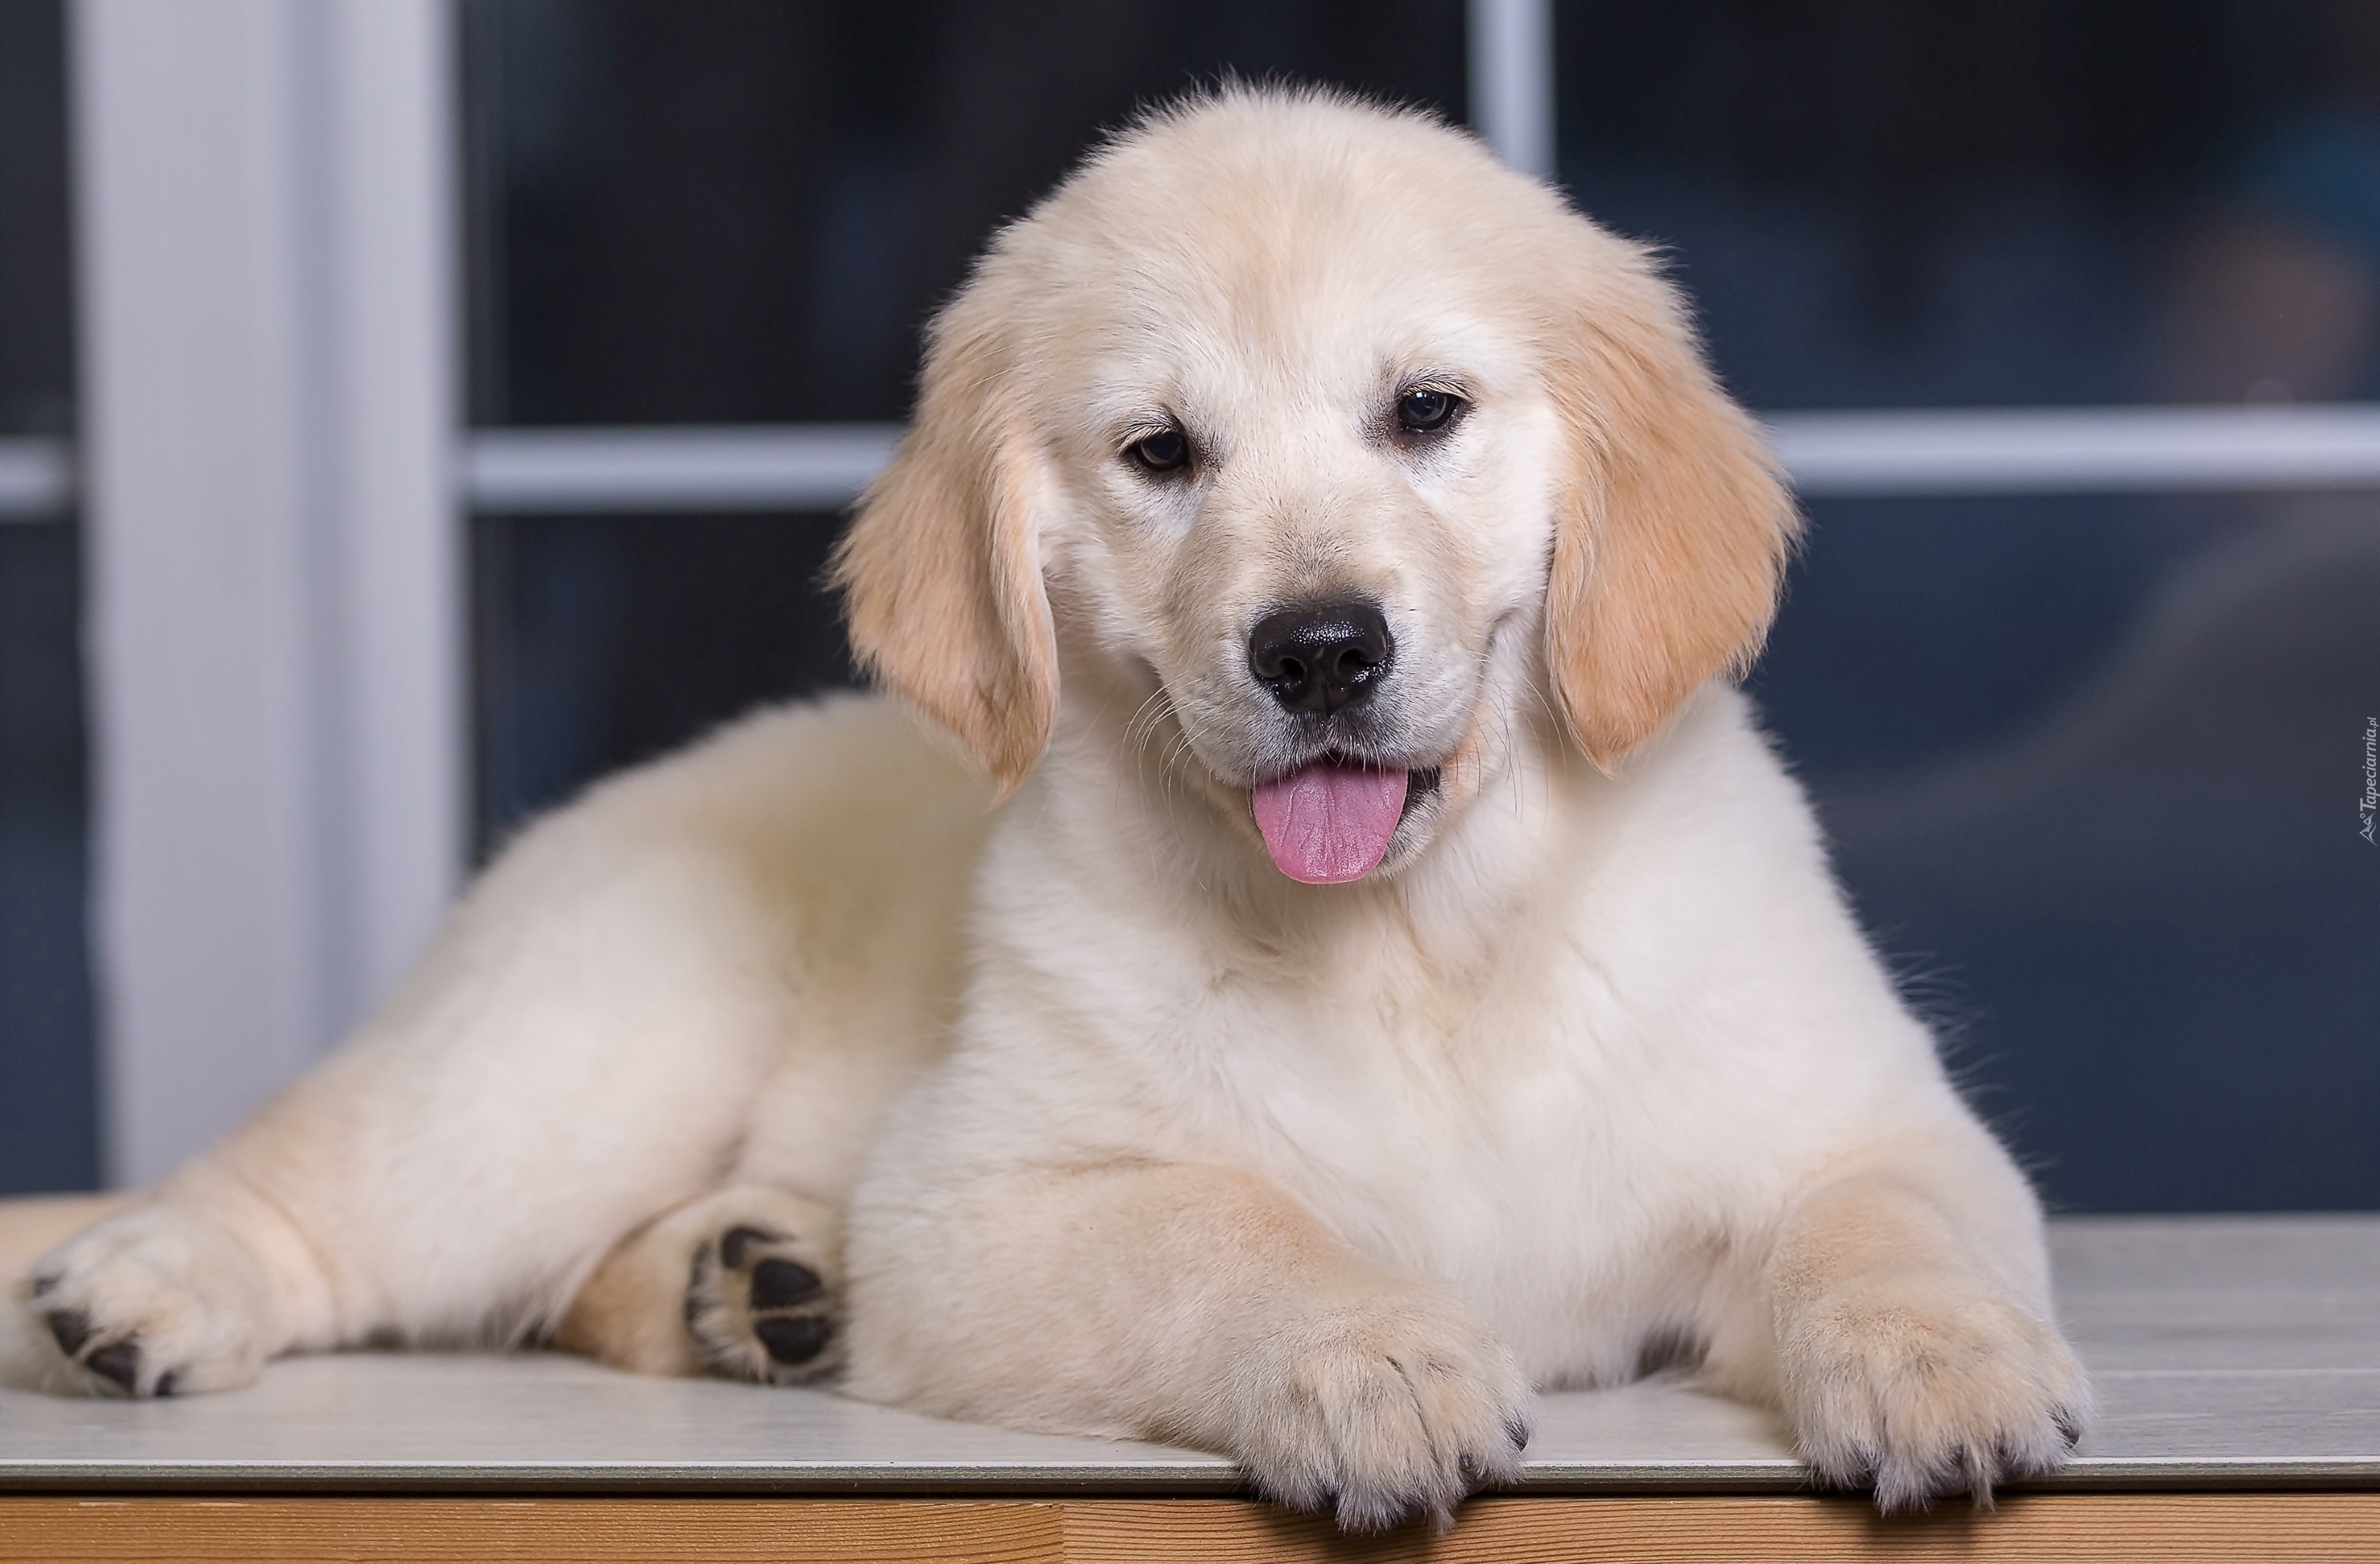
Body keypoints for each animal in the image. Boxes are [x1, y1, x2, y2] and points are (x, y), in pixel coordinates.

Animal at [13, 86, 2085, 1523]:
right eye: (1160, 454)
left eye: (1426, 410)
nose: (1316, 648)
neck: (1416, 941)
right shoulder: (981, 1203)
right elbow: (1225, 1228)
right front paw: (1372, 1352)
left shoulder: (1854, 1112)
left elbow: (1882, 1222)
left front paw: (1944, 1368)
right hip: (572, 1052)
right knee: (333, 1179)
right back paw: (143, 1284)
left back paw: (750, 1283)